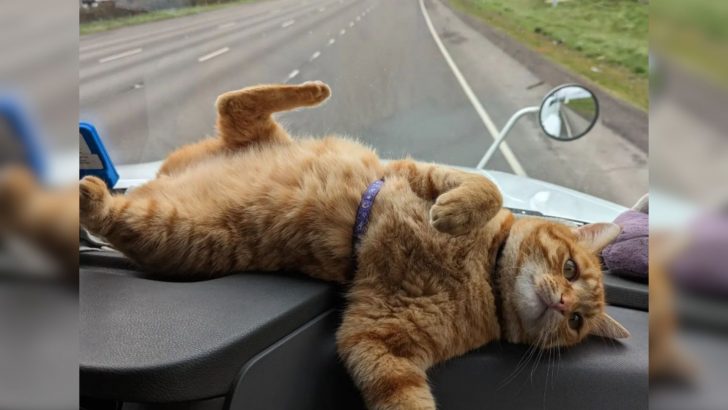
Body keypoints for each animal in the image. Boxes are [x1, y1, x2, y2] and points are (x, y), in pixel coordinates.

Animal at [78, 81, 624, 410]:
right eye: (571, 269)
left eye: (578, 321)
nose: (563, 302)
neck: (481, 271)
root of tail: (160, 176)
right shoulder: (417, 173)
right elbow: (485, 187)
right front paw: (454, 212)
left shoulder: (378, 342)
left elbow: (405, 397)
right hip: (223, 169)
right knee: (235, 100)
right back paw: (312, 89)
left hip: (174, 231)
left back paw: (88, 193)